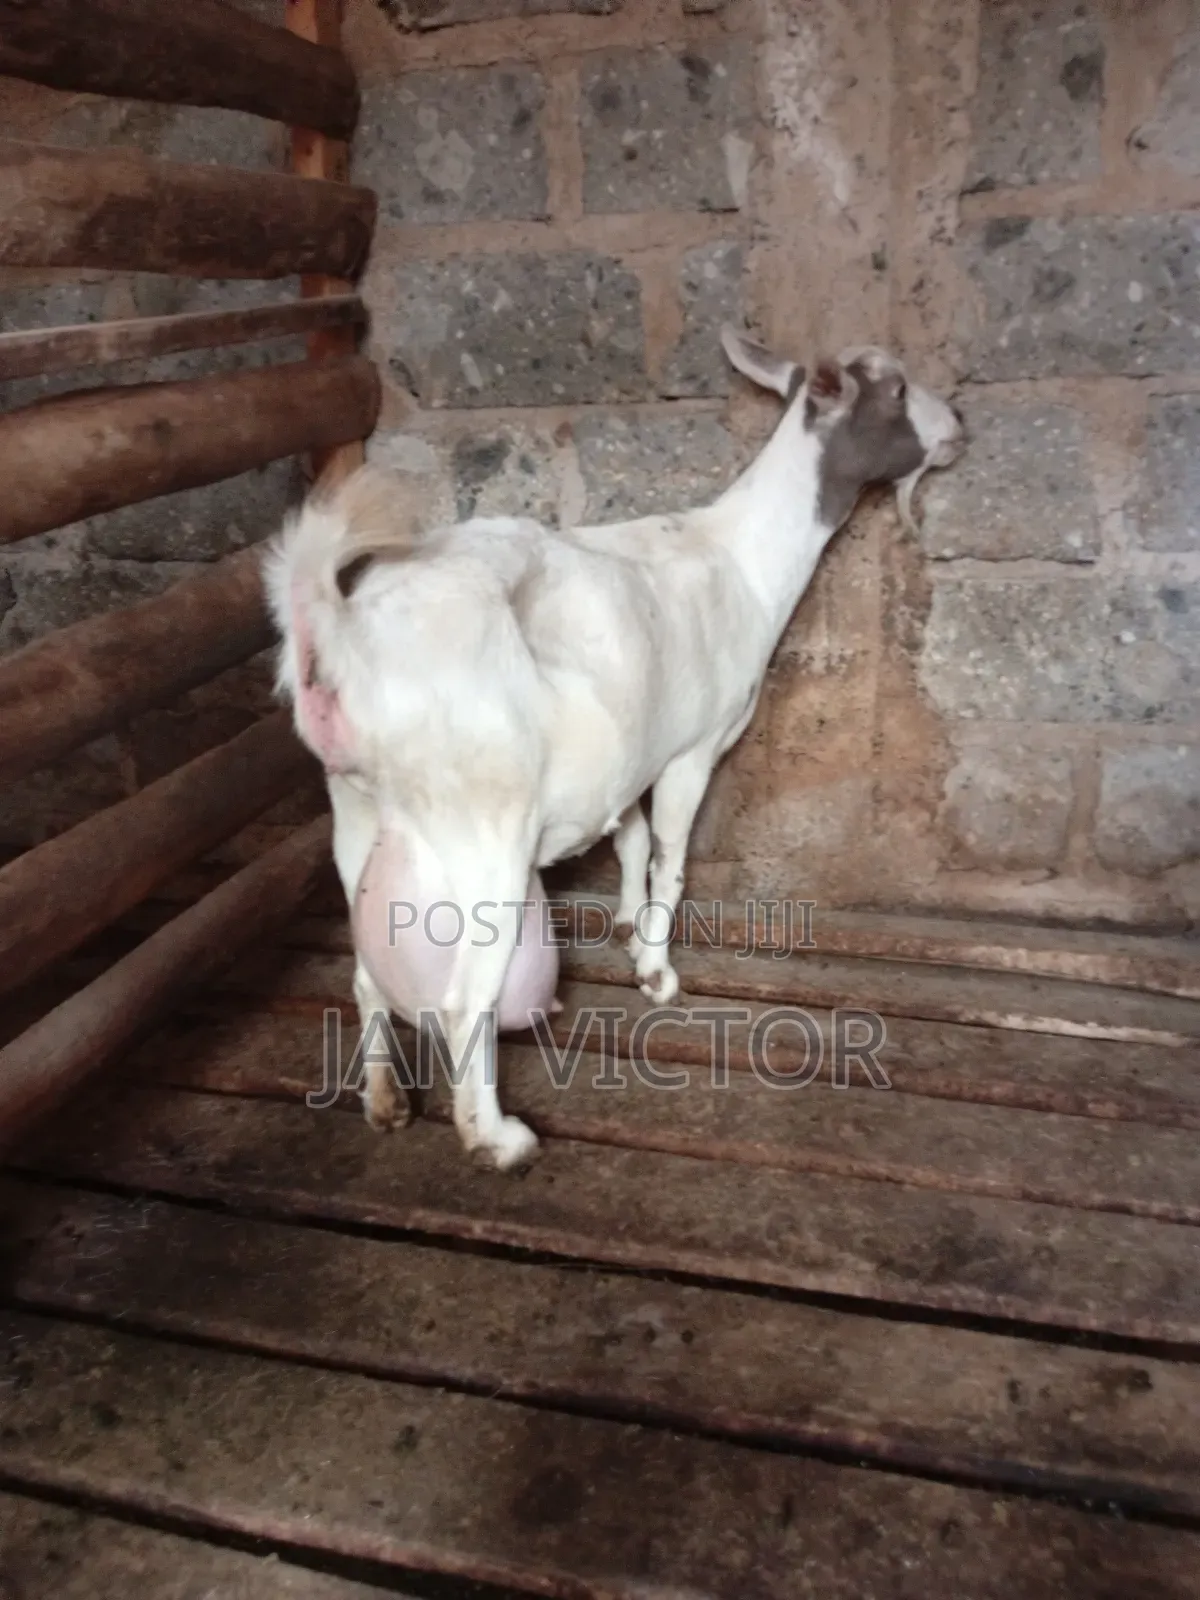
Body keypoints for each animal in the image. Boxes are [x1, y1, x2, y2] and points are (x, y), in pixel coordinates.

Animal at [264, 327, 964, 1171]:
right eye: (895, 389)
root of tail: (340, 638)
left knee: (366, 976)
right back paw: (497, 1139)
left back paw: (383, 1099)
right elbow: (670, 851)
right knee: (465, 1000)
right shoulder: (693, 747)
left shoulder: (634, 747)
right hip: (482, 829)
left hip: (353, 809)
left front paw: (629, 925)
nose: (958, 423)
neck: (740, 560)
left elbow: (629, 840)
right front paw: (658, 970)